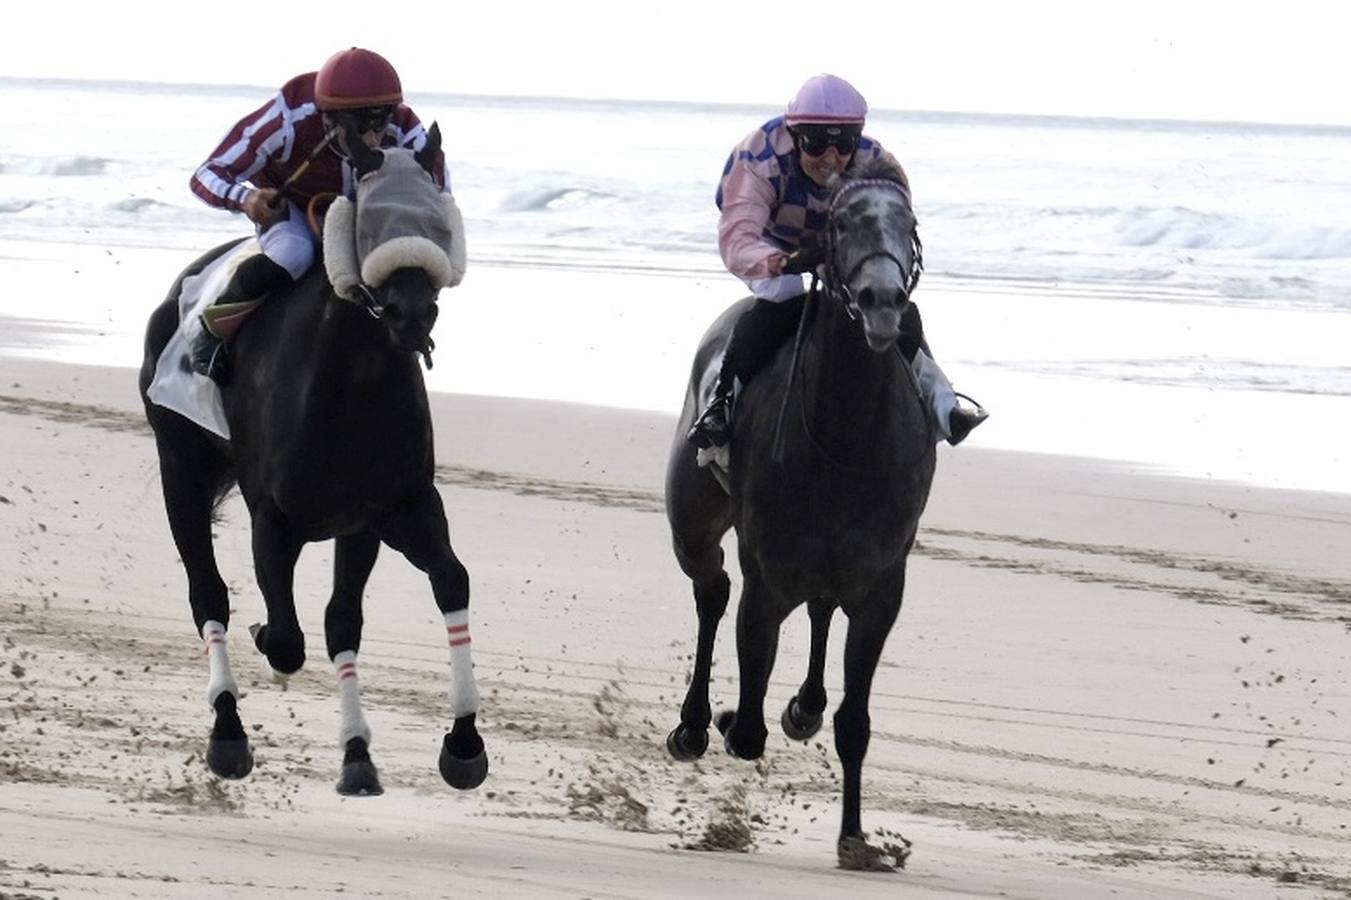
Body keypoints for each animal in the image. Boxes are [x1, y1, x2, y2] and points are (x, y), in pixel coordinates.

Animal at [135, 124, 486, 794]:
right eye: (369, 218)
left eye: (437, 215)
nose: (412, 313)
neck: (352, 382)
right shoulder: (273, 519)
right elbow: (286, 638)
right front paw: (264, 638)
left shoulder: (390, 510)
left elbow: (436, 584)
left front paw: (458, 742)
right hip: (179, 467)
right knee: (208, 594)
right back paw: (228, 733)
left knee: (333, 618)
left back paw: (355, 751)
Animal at [664, 164, 940, 864]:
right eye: (839, 225)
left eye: (909, 222)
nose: (882, 302)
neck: (847, 437)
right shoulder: (768, 576)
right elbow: (748, 723)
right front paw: (729, 718)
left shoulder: (882, 583)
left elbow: (853, 721)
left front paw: (856, 838)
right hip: (691, 521)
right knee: (712, 590)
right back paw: (695, 723)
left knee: (818, 612)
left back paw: (801, 707)